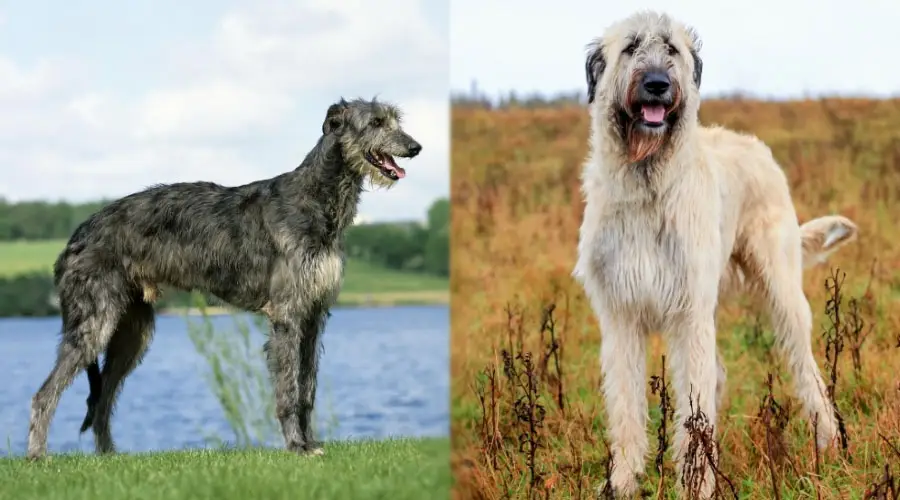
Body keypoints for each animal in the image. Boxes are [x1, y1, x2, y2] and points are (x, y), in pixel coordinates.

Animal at [26, 95, 424, 458]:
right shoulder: (287, 313)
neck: (316, 198)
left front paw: (310, 442)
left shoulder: (314, 314)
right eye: (375, 122)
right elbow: (288, 388)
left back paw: (109, 457)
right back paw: (37, 456)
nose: (415, 147)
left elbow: (307, 387)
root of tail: (77, 235)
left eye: (395, 120)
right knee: (44, 394)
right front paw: (296, 446)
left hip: (131, 332)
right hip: (95, 320)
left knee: (102, 399)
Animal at [572, 9, 856, 498]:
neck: (648, 184)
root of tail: (758, 147)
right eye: (631, 47)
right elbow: (626, 405)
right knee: (718, 374)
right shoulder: (621, 315)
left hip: (780, 289)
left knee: (806, 369)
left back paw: (827, 445)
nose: (657, 84)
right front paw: (624, 480)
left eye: (671, 48)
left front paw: (697, 483)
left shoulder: (689, 313)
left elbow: (694, 408)